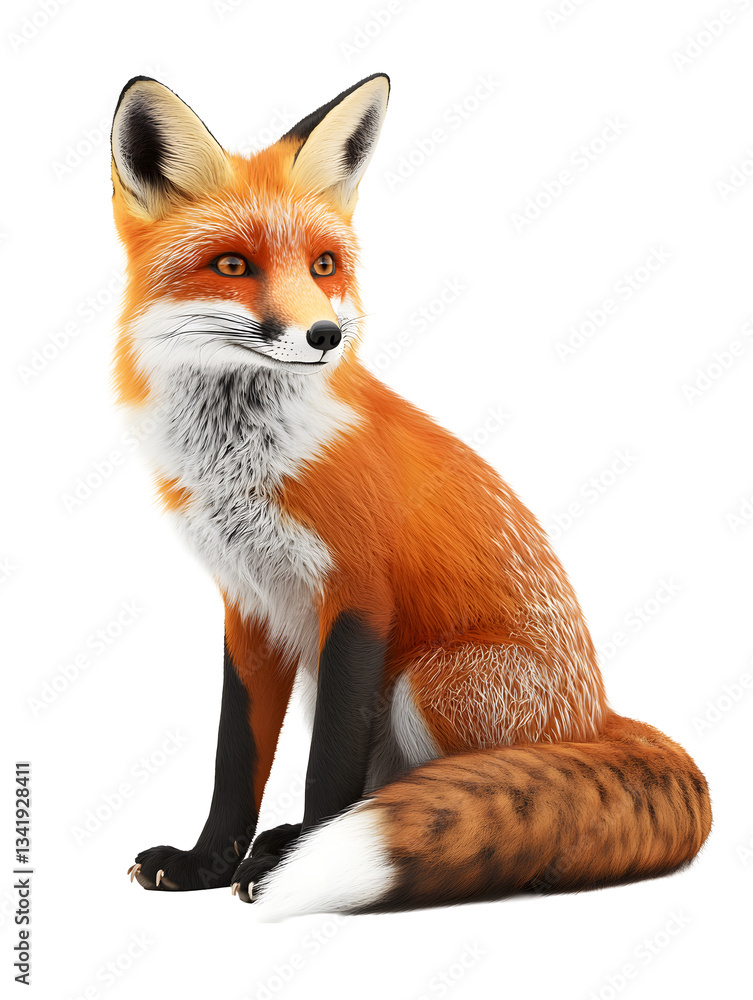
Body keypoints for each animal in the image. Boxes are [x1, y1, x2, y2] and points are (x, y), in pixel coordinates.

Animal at [110, 73, 711, 918]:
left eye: (324, 264)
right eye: (231, 265)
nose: (325, 336)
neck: (245, 458)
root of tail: (600, 716)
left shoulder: (358, 594)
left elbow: (325, 764)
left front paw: (289, 862)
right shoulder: (250, 605)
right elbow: (236, 758)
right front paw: (207, 863)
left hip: (423, 680)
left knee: (448, 793)